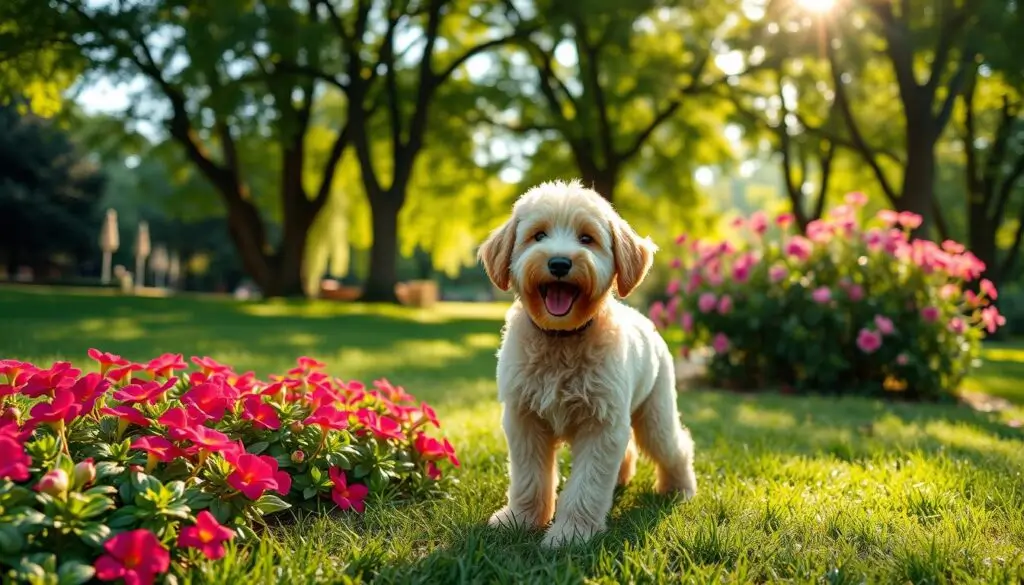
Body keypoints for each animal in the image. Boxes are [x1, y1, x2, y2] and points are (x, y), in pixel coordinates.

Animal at [479, 178, 696, 549]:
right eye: (538, 235)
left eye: (586, 238)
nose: (559, 263)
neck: (561, 340)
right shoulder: (525, 420)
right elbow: (529, 479)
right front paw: (519, 519)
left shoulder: (600, 424)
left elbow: (586, 485)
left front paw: (571, 533)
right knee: (628, 452)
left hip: (655, 415)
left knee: (676, 446)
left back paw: (680, 489)